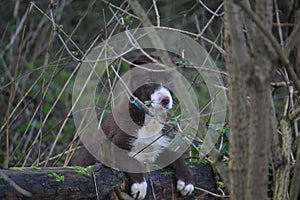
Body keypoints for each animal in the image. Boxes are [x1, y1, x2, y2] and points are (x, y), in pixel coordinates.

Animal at [72, 55, 195, 200]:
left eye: (170, 81)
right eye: (148, 81)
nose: (165, 100)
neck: (148, 120)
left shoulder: (156, 146)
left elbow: (176, 156)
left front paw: (186, 181)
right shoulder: (113, 147)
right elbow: (132, 162)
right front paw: (140, 186)